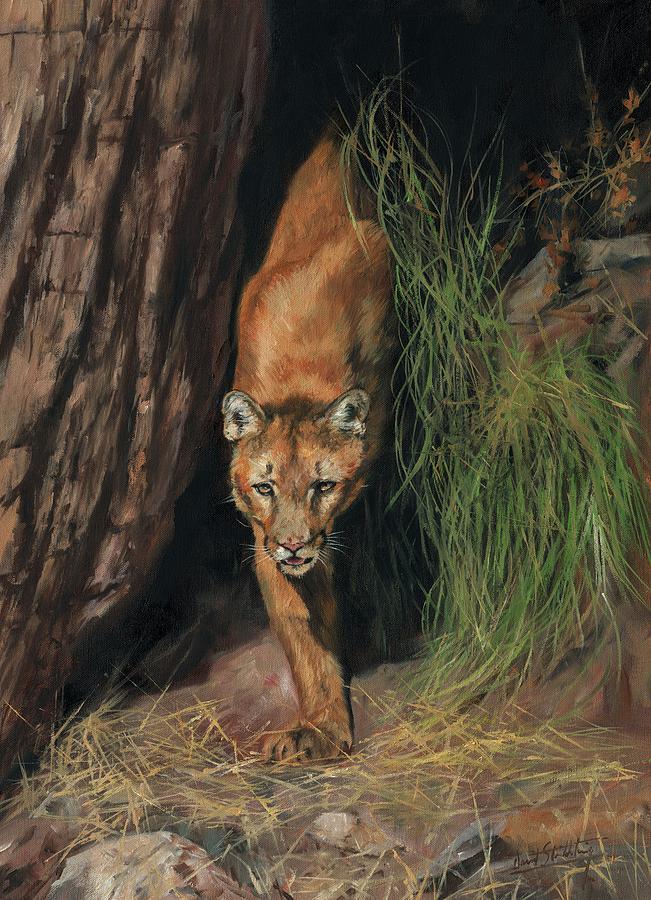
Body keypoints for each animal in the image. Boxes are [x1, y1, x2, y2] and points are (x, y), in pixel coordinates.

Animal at [222, 136, 395, 761]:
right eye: (264, 487)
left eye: (324, 485)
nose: (296, 545)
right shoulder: (262, 537)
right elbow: (301, 627)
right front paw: (321, 725)